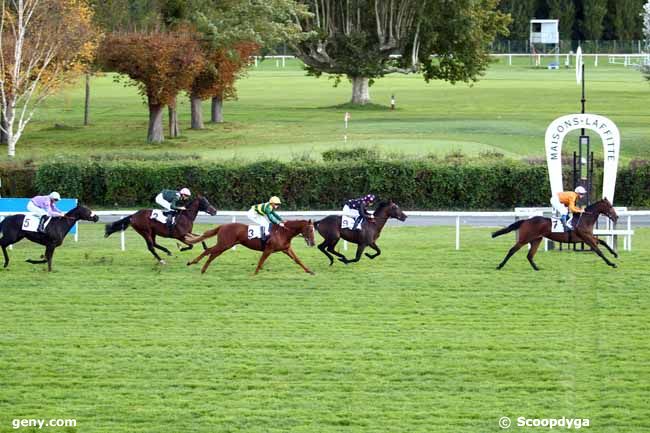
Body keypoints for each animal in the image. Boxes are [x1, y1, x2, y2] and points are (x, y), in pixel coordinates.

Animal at [184, 219, 316, 274]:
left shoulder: (286, 249)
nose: (313, 243)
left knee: (211, 253)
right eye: (310, 229)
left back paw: (202, 268)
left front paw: (309, 271)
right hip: (224, 244)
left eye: (314, 229)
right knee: (209, 251)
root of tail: (222, 226)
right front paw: (255, 273)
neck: (283, 232)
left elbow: (298, 260)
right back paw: (193, 263)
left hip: (225, 245)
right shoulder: (269, 249)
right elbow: (261, 261)